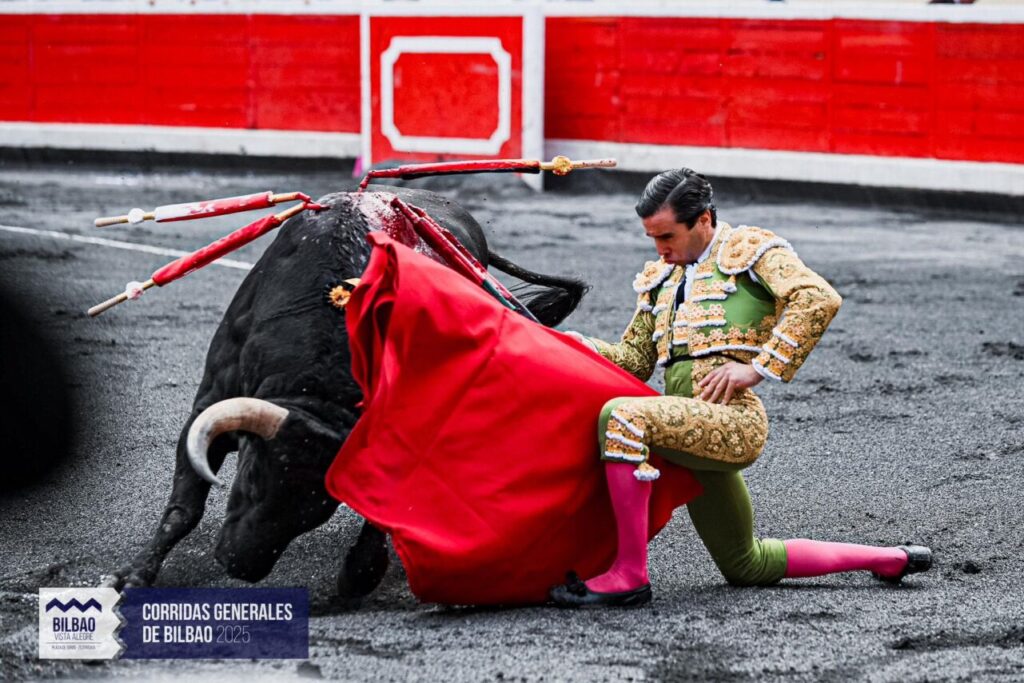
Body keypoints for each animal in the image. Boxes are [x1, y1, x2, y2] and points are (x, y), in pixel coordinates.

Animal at [102, 185, 588, 600]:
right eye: (253, 476)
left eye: (321, 505)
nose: (240, 565)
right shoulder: (210, 399)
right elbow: (184, 507)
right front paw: (131, 576)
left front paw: (359, 575)